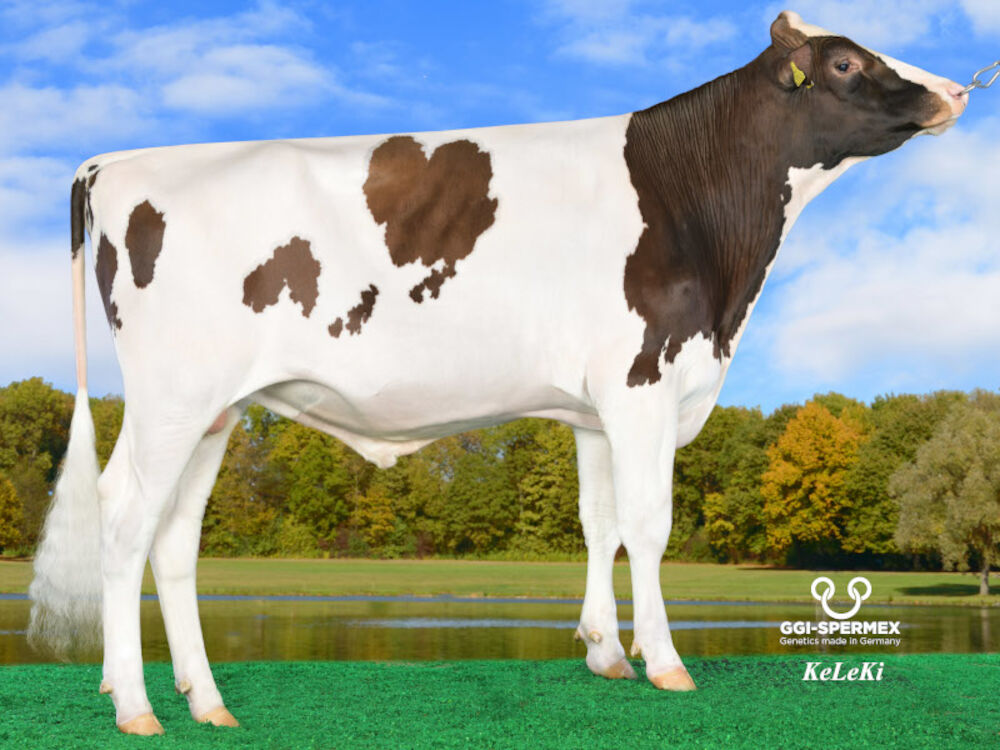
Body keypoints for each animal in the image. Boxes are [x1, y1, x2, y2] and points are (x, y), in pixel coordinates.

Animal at [28, 10, 965, 735]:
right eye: (844, 62)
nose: (956, 91)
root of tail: (115, 163)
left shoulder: (595, 408)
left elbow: (600, 526)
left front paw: (606, 653)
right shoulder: (644, 380)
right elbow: (649, 525)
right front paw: (665, 662)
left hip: (214, 410)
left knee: (174, 538)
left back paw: (207, 701)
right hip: (173, 398)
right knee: (125, 521)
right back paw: (137, 708)